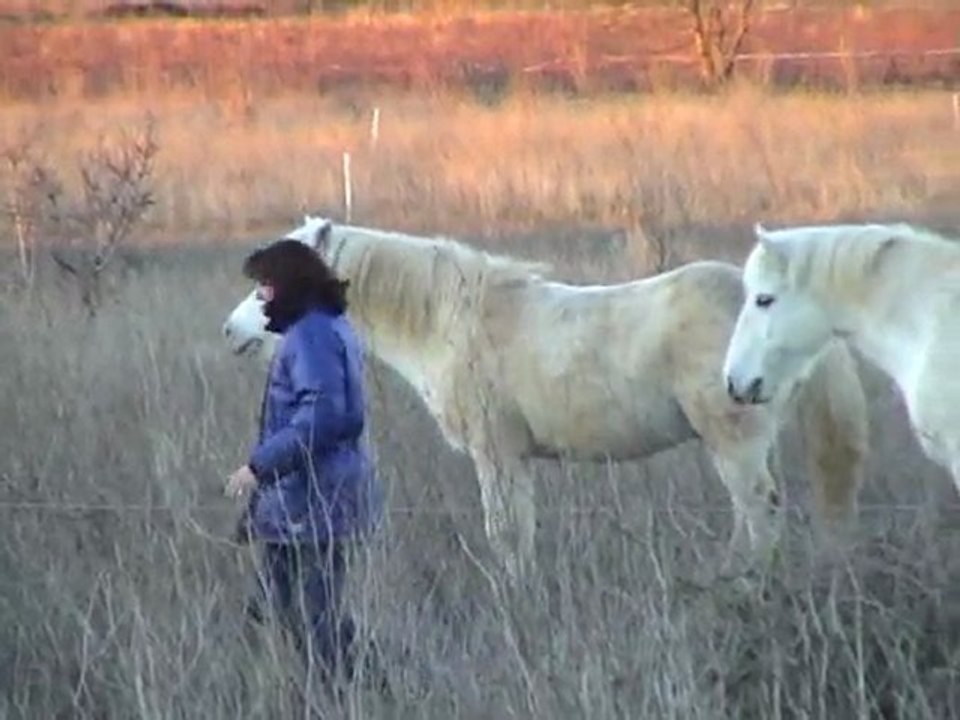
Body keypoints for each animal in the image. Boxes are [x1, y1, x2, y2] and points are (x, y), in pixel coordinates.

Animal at [223, 216, 870, 583]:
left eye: (267, 286)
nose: (231, 332)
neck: (452, 321)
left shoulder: (497, 455)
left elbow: (505, 532)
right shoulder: (516, 460)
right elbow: (523, 531)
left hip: (734, 443)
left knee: (758, 516)